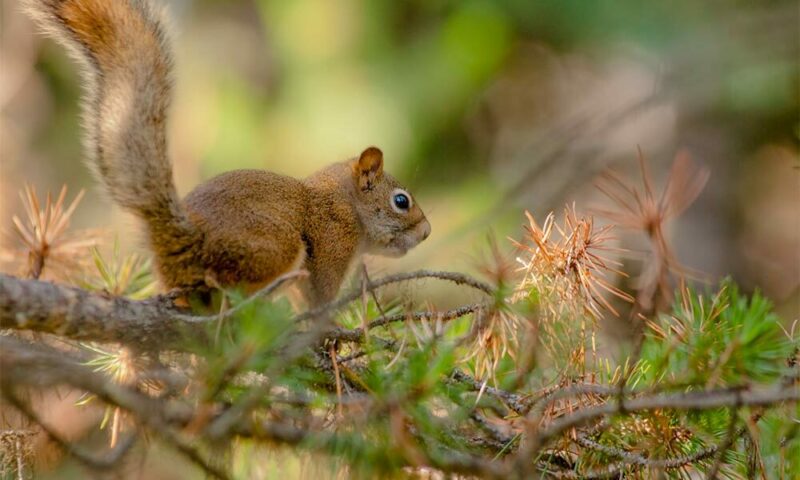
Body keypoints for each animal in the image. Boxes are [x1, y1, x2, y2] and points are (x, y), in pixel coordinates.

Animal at [25, 0, 432, 306]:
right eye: (401, 201)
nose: (427, 232)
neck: (345, 200)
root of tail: (184, 240)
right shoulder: (331, 242)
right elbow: (319, 300)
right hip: (275, 245)